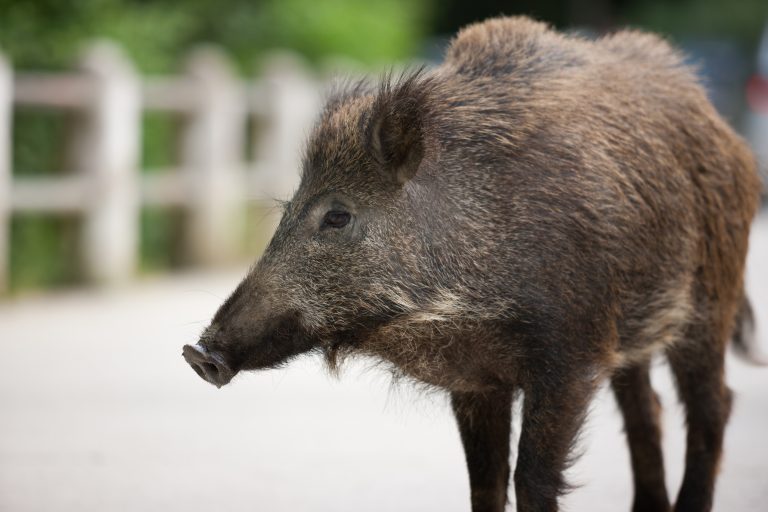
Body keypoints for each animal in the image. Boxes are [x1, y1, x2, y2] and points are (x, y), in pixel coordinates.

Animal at [183, 16, 762, 512]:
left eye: (337, 216)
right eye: (288, 210)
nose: (198, 352)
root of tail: (720, 124)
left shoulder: (571, 355)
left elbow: (532, 478)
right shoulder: (476, 379)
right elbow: (484, 482)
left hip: (712, 296)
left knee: (714, 406)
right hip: (636, 335)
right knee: (648, 412)